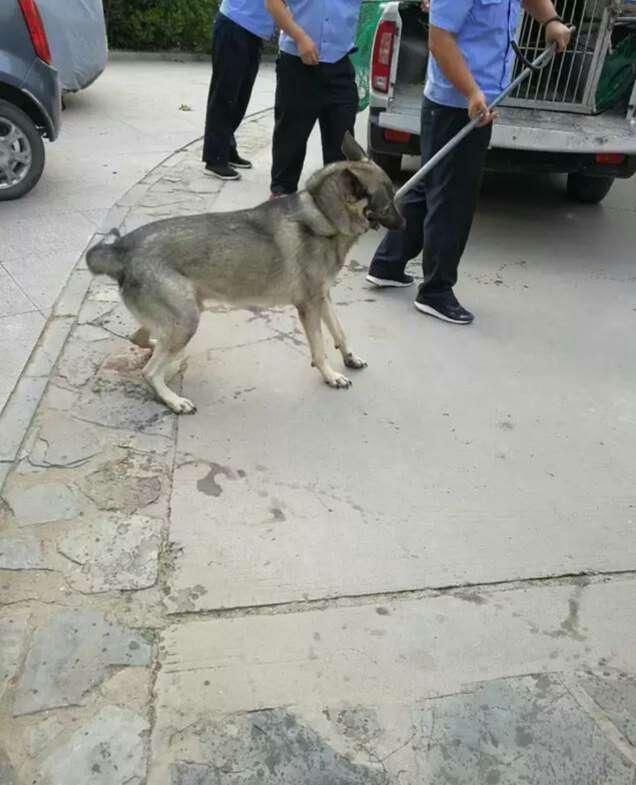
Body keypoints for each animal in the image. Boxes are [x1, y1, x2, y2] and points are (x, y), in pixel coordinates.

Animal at [85, 132, 402, 414]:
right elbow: (319, 348)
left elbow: (340, 332)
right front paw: (330, 375)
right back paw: (173, 400)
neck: (322, 213)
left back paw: (159, 350)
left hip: (180, 318)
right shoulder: (309, 306)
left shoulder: (323, 298)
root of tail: (122, 248)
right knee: (150, 372)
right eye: (389, 204)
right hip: (187, 319)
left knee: (141, 338)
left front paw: (349, 357)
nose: (406, 223)